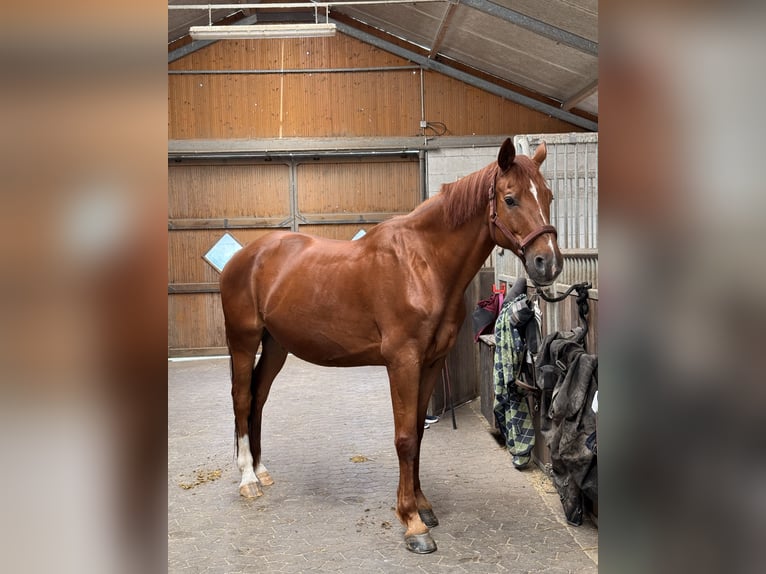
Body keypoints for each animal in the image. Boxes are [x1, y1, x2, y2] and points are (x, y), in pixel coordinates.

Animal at [219, 137, 562, 554]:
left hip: (275, 346)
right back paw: (247, 480)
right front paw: (412, 523)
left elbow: (417, 432)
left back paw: (260, 470)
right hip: (243, 340)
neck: (422, 263)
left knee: (258, 398)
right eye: (510, 199)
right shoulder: (403, 362)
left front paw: (423, 505)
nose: (548, 264)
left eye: (548, 195)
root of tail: (244, 257)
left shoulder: (431, 363)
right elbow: (404, 439)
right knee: (241, 399)